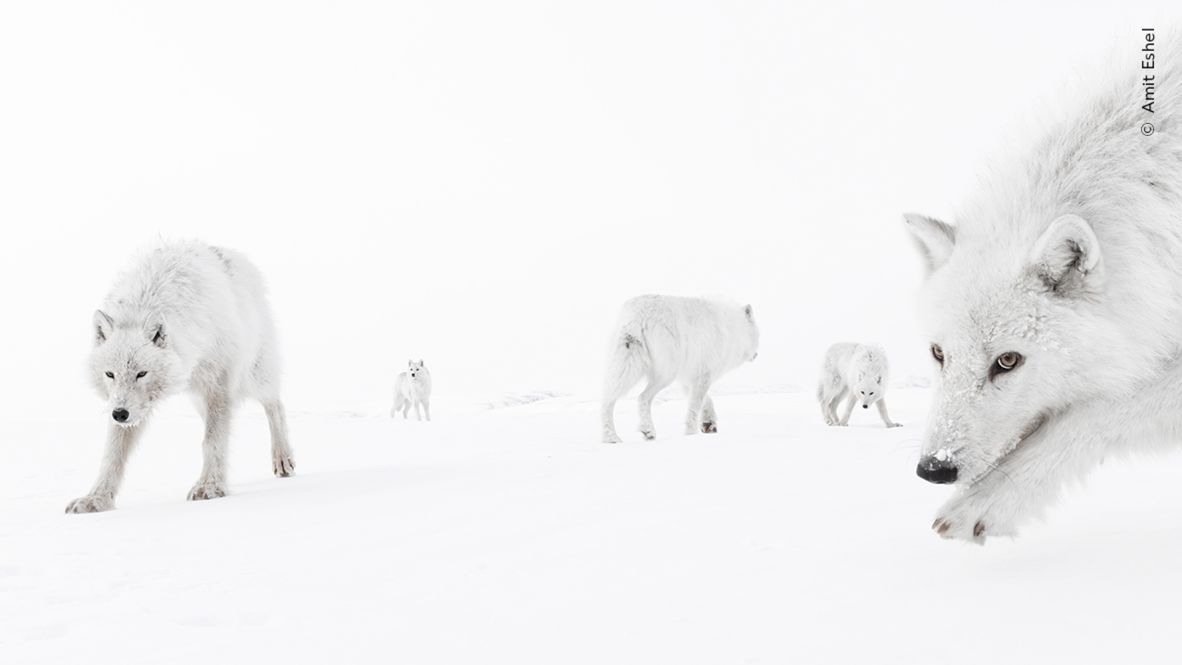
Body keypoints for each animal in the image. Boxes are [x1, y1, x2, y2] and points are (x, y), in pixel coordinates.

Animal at [66, 241, 294, 513]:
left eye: (141, 373)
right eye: (110, 374)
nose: (119, 414)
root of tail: (232, 253)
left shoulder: (218, 386)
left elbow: (212, 440)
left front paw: (209, 486)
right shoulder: (127, 406)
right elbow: (112, 455)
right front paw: (96, 499)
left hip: (253, 377)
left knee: (276, 405)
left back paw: (283, 458)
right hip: (198, 398)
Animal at [600, 295, 759, 443]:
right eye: (757, 334)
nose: (756, 355)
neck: (733, 327)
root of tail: (640, 314)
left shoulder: (689, 378)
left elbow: (706, 400)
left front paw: (708, 423)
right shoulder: (704, 375)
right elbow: (694, 406)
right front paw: (691, 434)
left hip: (626, 368)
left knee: (608, 400)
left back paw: (613, 438)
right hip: (665, 375)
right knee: (642, 397)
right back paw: (646, 431)